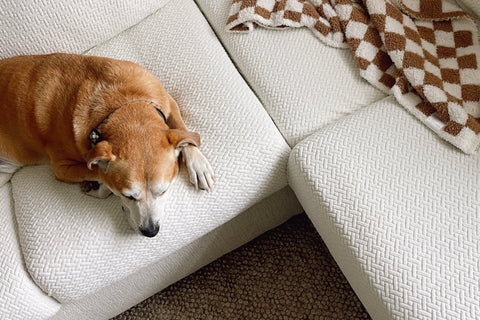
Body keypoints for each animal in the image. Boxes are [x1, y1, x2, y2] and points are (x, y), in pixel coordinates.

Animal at [0, 53, 214, 238]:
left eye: (163, 191)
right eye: (128, 196)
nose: (150, 232)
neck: (122, 105)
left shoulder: (168, 100)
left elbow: (182, 130)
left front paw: (198, 164)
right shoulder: (61, 168)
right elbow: (100, 176)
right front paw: (97, 187)